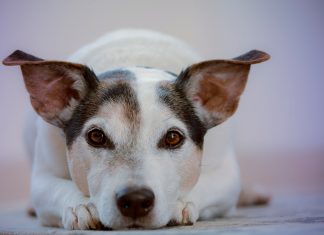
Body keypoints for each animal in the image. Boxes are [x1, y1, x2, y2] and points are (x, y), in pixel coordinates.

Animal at [3, 29, 270, 229]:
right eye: (96, 136)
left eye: (173, 138)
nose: (135, 200)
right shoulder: (42, 177)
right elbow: (57, 188)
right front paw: (82, 206)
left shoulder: (226, 175)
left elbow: (206, 184)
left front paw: (179, 203)